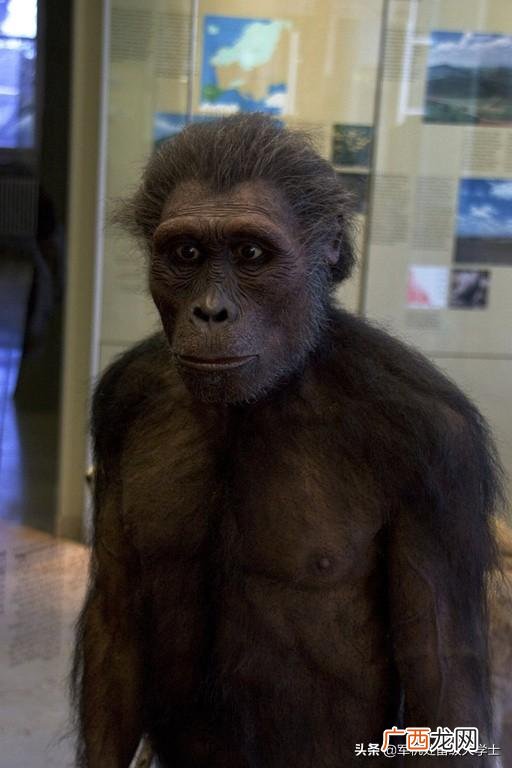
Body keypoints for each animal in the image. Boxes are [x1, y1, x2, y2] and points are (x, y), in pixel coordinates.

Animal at [72, 113, 503, 767]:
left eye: (251, 253)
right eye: (187, 253)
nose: (210, 312)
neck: (275, 387)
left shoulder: (439, 449)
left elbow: (442, 671)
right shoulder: (122, 398)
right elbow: (116, 620)